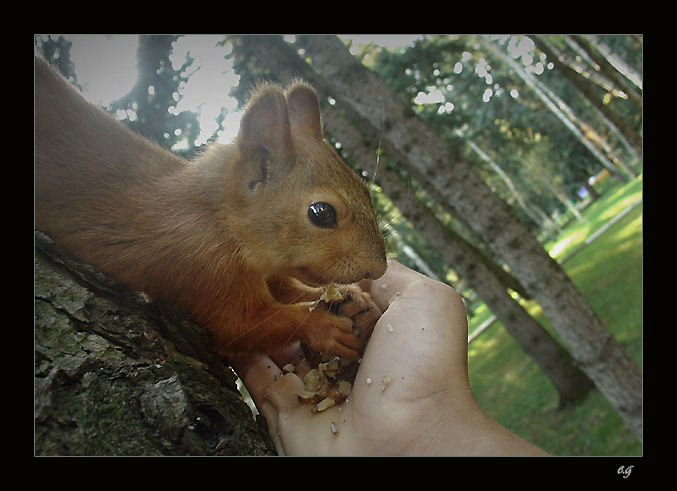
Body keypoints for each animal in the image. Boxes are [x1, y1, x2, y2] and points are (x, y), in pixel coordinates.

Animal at [34, 56, 386, 362]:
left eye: (363, 186)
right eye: (321, 213)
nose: (379, 269)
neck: (219, 220)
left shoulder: (270, 274)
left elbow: (289, 291)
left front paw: (357, 298)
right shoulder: (205, 268)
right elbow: (239, 327)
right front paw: (322, 327)